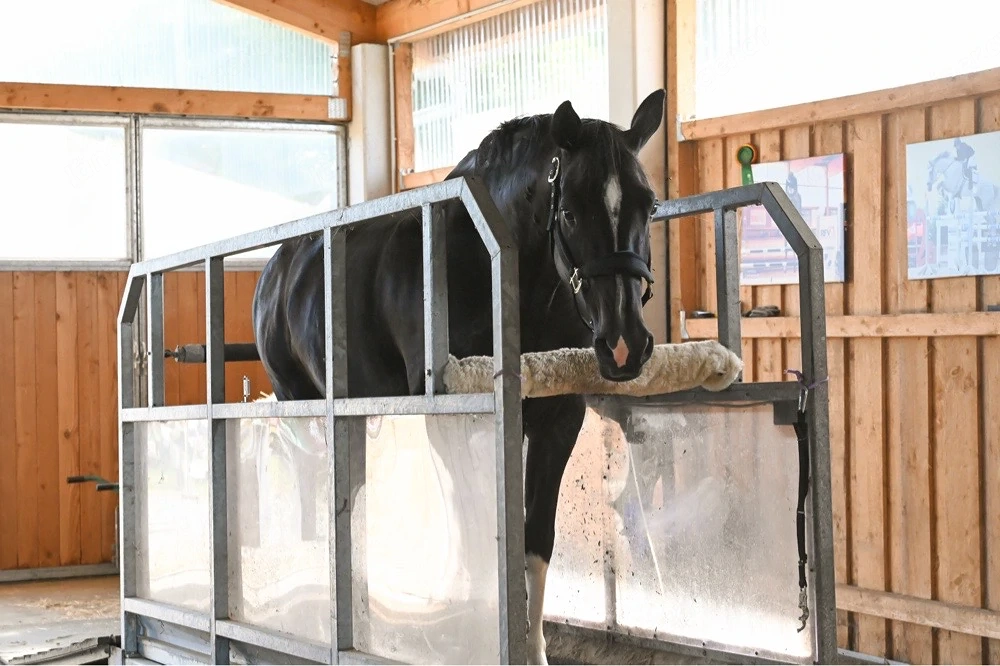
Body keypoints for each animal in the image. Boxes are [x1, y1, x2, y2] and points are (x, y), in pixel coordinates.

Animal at [252, 89, 666, 664]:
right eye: (570, 211)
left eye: (649, 205)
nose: (625, 343)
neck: (500, 275)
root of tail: (277, 269)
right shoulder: (454, 422)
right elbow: (475, 533)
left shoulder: (558, 420)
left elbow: (535, 541)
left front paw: (532, 647)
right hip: (300, 406)